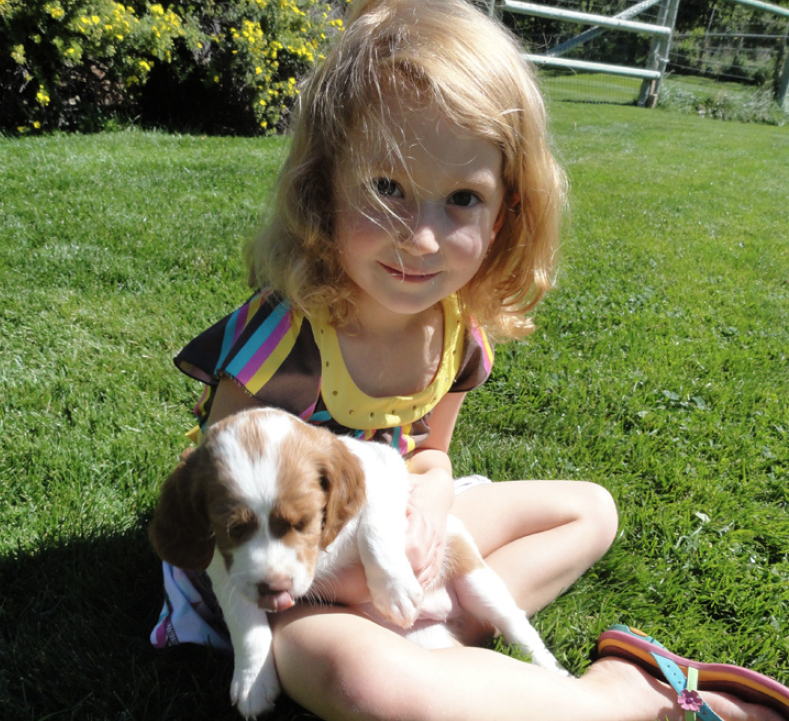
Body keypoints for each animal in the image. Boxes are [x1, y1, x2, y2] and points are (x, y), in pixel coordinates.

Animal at [148, 408, 568, 716]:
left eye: (304, 522)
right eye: (232, 529)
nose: (274, 590)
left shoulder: (384, 467)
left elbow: (374, 521)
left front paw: (394, 588)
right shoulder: (225, 566)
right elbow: (244, 620)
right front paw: (253, 680)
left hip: (478, 581)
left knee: (519, 631)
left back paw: (554, 673)